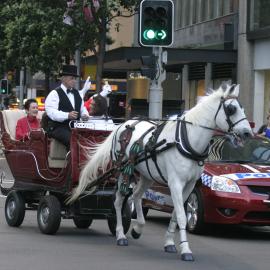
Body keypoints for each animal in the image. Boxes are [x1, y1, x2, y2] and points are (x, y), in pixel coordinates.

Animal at [67, 83, 253, 262]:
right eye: (231, 109)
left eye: (242, 107)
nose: (248, 133)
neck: (187, 140)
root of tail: (123, 125)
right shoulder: (175, 183)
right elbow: (182, 215)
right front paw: (186, 250)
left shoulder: (189, 185)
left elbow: (176, 214)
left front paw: (170, 242)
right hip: (122, 170)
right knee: (119, 200)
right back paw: (120, 235)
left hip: (147, 175)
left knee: (136, 195)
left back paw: (137, 228)